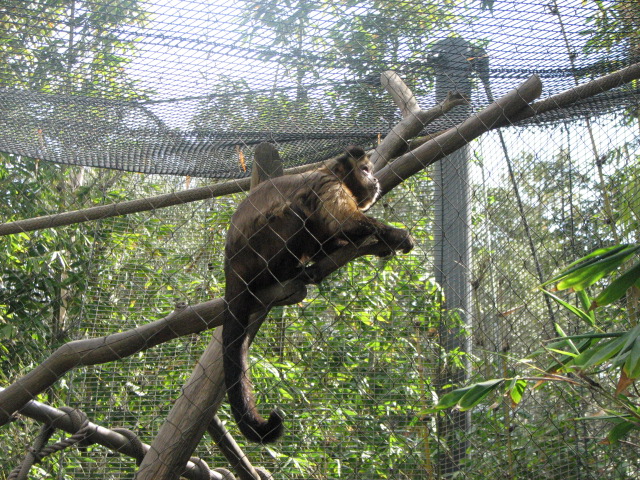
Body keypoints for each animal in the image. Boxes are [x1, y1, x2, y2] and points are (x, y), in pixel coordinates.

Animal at [223, 145, 414, 443]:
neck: (330, 172)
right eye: (365, 170)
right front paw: (395, 234)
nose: (375, 179)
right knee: (297, 212)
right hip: (257, 253)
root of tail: (230, 261)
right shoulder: (326, 184)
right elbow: (344, 221)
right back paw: (288, 271)